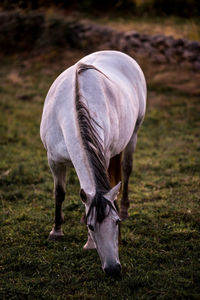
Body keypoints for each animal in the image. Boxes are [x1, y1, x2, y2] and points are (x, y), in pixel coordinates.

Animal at [39, 50, 146, 278]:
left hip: (133, 134)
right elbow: (59, 194)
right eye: (91, 226)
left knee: (126, 170)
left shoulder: (102, 156)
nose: (113, 270)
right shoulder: (54, 161)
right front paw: (56, 231)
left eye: (116, 222)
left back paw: (125, 207)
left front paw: (89, 244)